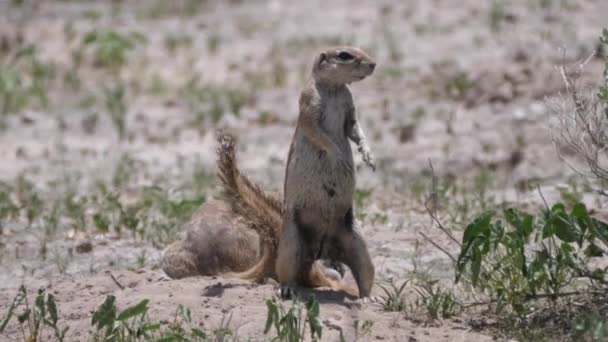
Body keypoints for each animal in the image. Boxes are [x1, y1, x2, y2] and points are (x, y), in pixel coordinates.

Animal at [164, 46, 378, 298]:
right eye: (345, 55)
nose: (373, 64)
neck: (334, 89)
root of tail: (318, 253)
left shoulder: (349, 109)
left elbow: (354, 129)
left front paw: (368, 155)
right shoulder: (308, 105)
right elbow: (318, 134)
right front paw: (339, 156)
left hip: (357, 244)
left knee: (363, 272)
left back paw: (367, 297)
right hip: (291, 245)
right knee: (287, 273)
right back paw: (286, 289)